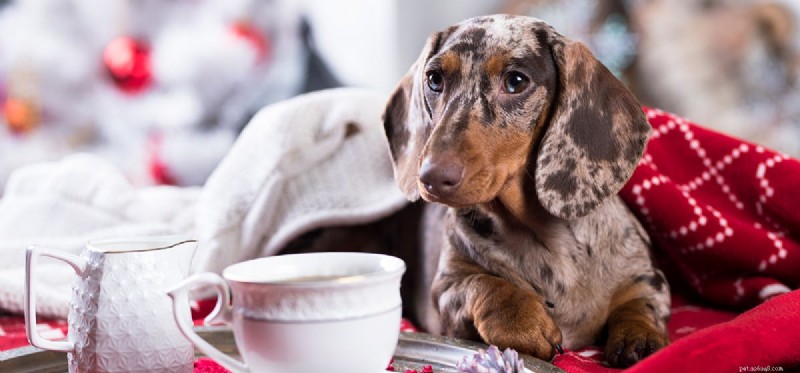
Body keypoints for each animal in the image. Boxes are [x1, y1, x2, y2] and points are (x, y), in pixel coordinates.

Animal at [382, 15, 668, 366]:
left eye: (516, 81)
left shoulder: (648, 277)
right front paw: (524, 321)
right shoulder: (447, 293)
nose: (432, 177)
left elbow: (640, 300)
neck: (540, 236)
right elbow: (483, 283)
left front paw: (639, 334)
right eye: (434, 79)